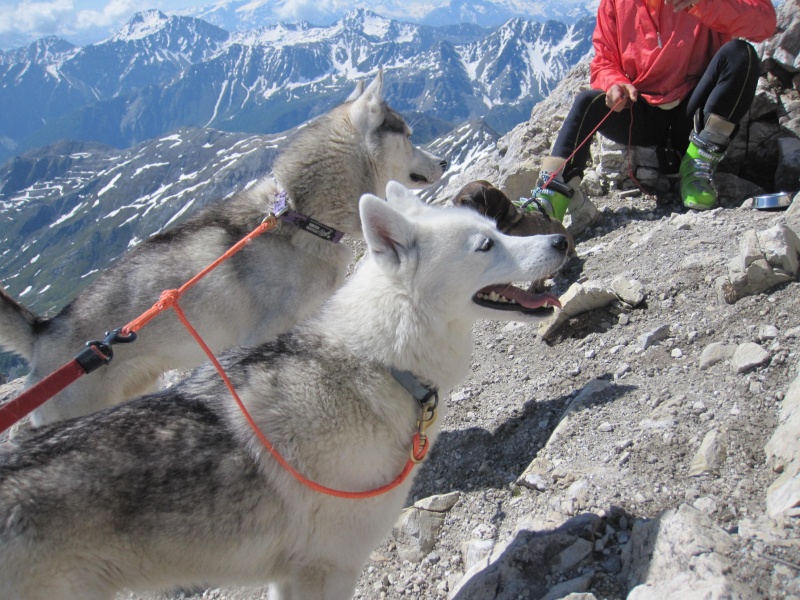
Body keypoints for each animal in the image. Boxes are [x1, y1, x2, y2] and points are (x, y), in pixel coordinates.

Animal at [0, 182, 568, 600]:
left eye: (494, 229)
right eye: (486, 246)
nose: (560, 242)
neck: (381, 363)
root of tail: (45, 332)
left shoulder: (292, 574)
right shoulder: (326, 569)